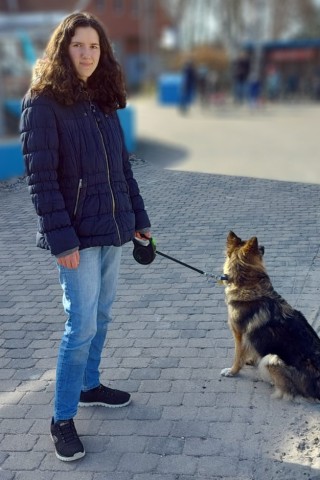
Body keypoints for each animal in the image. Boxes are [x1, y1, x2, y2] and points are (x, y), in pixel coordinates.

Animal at [220, 230, 320, 402]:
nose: (263, 247)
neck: (248, 285)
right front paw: (249, 359)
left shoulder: (238, 334)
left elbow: (237, 356)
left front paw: (232, 371)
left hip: (272, 358)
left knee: (289, 392)